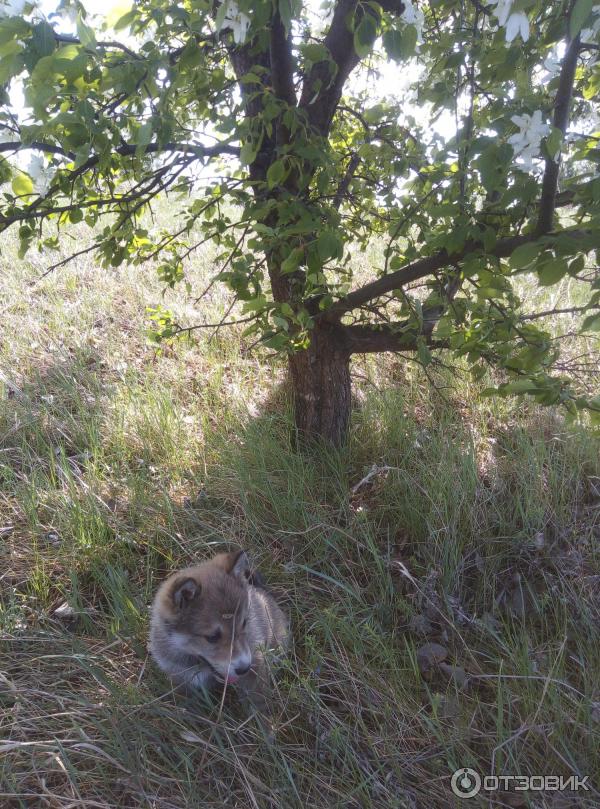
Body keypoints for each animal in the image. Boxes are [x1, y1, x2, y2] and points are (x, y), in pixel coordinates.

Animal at [150, 548, 290, 712]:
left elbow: (258, 703)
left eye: (244, 623)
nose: (244, 668)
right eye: (212, 637)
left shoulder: (256, 663)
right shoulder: (179, 679)